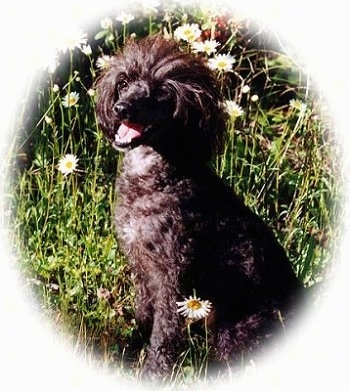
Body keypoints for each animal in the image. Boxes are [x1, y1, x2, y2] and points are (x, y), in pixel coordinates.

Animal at [96, 36, 304, 380]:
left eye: (161, 92)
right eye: (124, 83)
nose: (120, 108)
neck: (159, 175)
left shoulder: (172, 275)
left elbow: (164, 331)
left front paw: (154, 372)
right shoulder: (142, 268)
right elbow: (143, 316)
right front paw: (130, 348)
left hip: (235, 328)